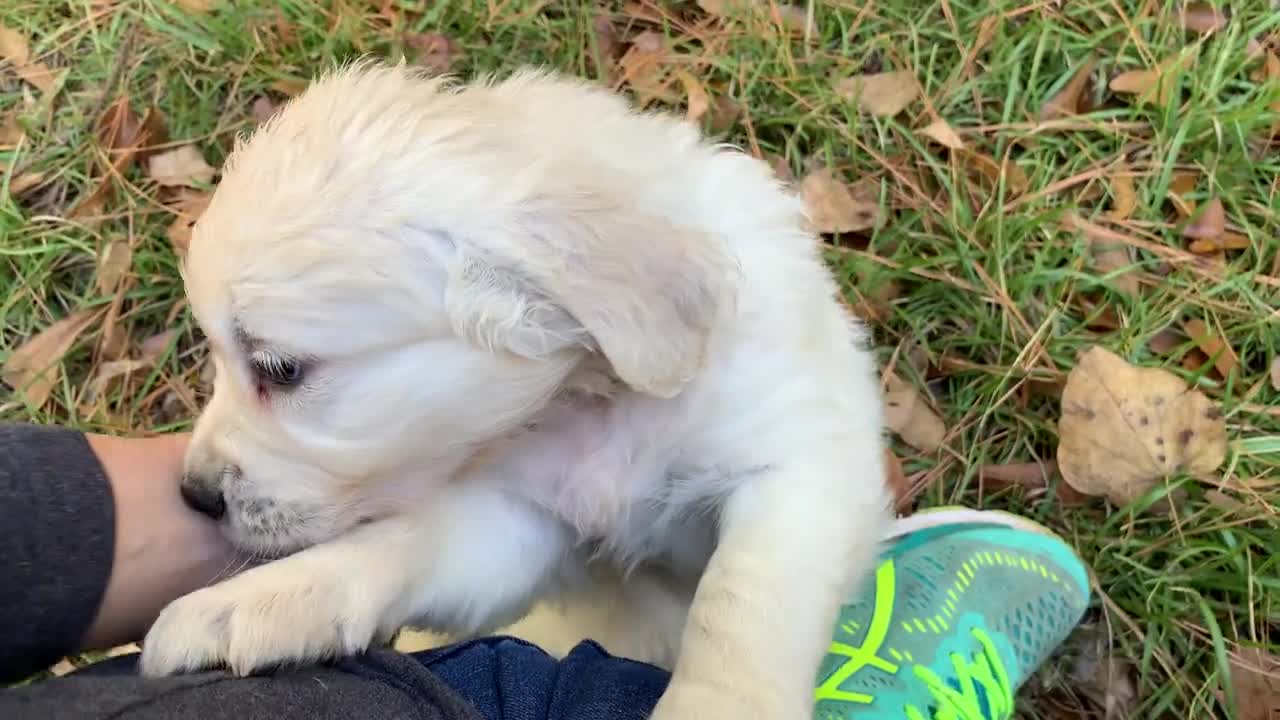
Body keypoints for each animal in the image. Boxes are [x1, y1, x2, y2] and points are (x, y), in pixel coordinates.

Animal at [142, 63, 890, 717]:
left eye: (279, 370)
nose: (195, 495)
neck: (595, 402)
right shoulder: (522, 525)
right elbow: (401, 545)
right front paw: (247, 606)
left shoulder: (798, 462)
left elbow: (740, 602)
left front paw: (715, 708)